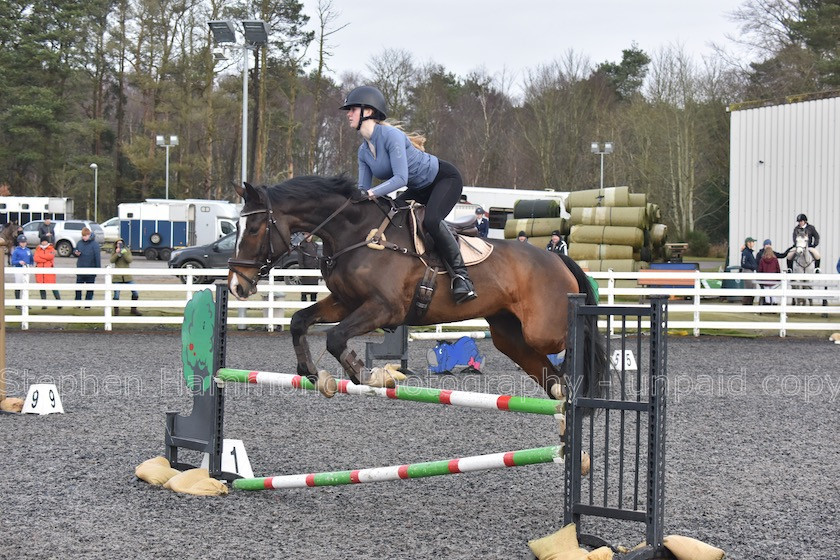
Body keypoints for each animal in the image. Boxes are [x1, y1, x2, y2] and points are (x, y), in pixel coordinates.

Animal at [226, 177, 608, 400]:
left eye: (255, 228)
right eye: (237, 227)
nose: (236, 286)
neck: (356, 234)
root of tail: (557, 258)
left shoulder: (385, 308)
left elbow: (336, 338)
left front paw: (369, 374)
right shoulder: (346, 302)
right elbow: (300, 321)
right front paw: (311, 372)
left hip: (542, 330)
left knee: (580, 338)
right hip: (509, 334)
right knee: (549, 374)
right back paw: (562, 391)